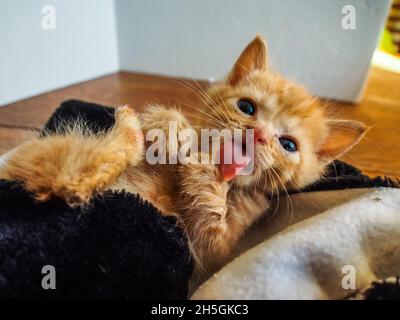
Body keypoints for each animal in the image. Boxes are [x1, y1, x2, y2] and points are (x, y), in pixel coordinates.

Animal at [0, 37, 368, 272]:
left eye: (289, 144)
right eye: (247, 107)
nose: (259, 134)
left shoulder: (216, 254)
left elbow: (213, 238)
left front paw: (207, 176)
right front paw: (171, 125)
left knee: (72, 178)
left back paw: (127, 129)